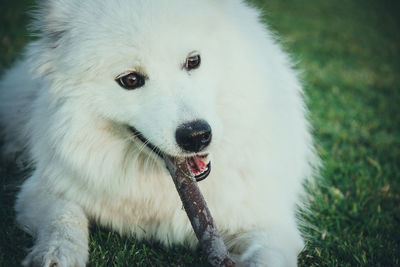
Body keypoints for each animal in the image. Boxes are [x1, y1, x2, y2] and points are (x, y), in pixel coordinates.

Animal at [0, 0, 318, 266]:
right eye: (130, 80)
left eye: (193, 61)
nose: (196, 135)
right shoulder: (42, 189)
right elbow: (64, 220)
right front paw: (56, 255)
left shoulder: (269, 225)